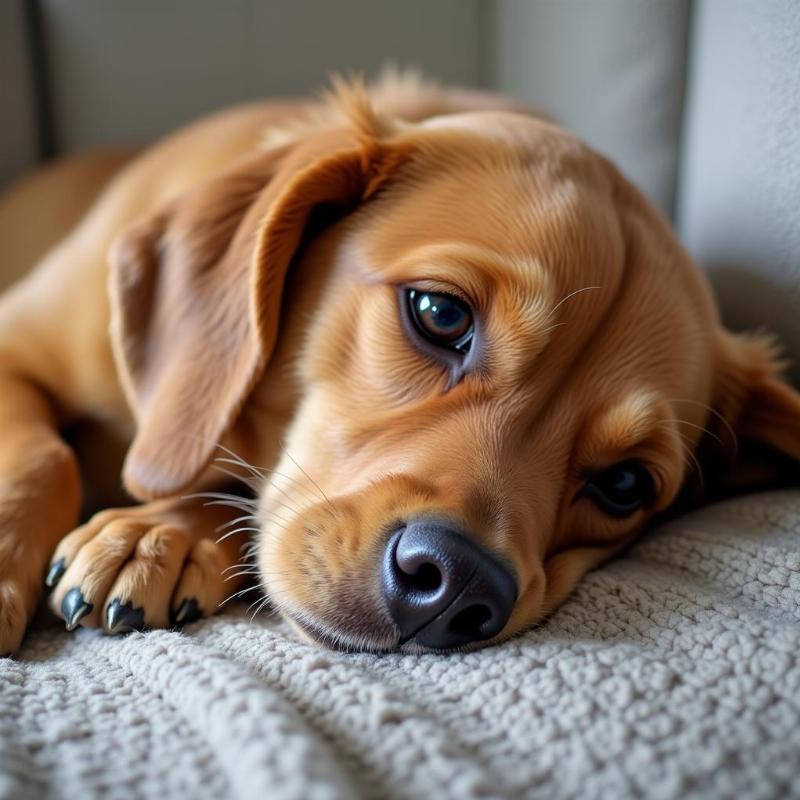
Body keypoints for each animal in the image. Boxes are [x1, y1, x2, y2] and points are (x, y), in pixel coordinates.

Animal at [1, 73, 800, 656]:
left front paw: (163, 532)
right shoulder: (16, 343)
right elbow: (42, 457)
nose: (458, 587)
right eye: (440, 313)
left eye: (626, 484)